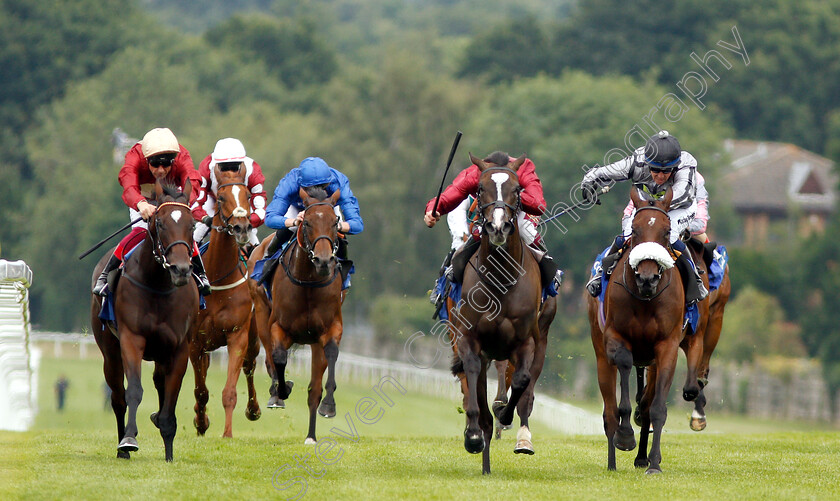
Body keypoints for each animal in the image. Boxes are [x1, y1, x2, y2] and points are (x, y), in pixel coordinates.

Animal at [90, 177, 200, 460]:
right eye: (160, 223)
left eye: (192, 224)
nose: (181, 270)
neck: (159, 285)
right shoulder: (132, 339)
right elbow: (134, 391)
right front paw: (129, 439)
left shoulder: (180, 348)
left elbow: (171, 397)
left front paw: (169, 450)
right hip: (109, 351)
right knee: (117, 396)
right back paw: (122, 448)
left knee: (160, 383)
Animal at [248, 187, 342, 442]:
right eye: (307, 222)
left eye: (335, 222)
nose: (323, 260)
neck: (308, 282)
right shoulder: (278, 326)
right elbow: (279, 357)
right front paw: (281, 390)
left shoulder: (331, 328)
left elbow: (331, 354)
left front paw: (329, 405)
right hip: (261, 312)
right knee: (270, 358)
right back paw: (276, 392)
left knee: (313, 388)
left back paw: (311, 435)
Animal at [446, 152, 552, 472]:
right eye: (480, 189)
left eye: (518, 189)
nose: (497, 227)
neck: (501, 278)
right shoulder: (469, 339)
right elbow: (471, 379)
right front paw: (472, 435)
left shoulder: (526, 340)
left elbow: (521, 381)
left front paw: (505, 414)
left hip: (541, 338)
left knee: (526, 388)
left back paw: (522, 437)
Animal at [592, 186, 688, 470]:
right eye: (634, 230)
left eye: (667, 231)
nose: (647, 278)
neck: (646, 298)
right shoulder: (616, 337)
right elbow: (624, 365)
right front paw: (625, 435)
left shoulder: (667, 346)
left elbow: (656, 409)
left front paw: (654, 463)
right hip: (601, 355)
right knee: (609, 412)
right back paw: (613, 461)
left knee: (645, 405)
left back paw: (643, 458)